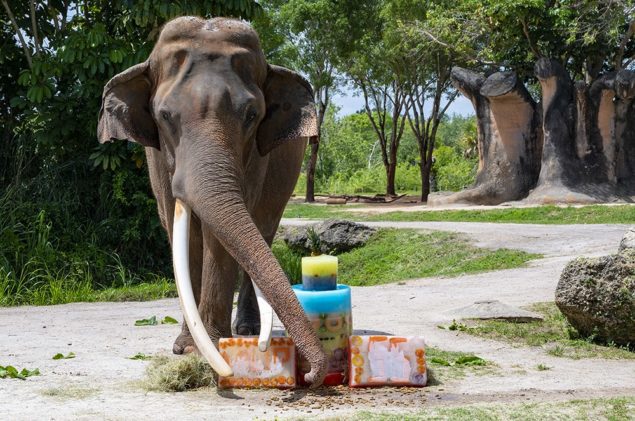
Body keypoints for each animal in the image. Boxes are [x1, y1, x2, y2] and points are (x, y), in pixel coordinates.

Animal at [98, 15, 328, 384]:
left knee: (264, 228)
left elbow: (217, 237)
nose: (310, 373)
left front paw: (206, 347)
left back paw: (246, 329)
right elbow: (180, 229)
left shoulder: (255, 160)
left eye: (252, 115)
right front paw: (186, 348)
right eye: (165, 116)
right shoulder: (157, 159)